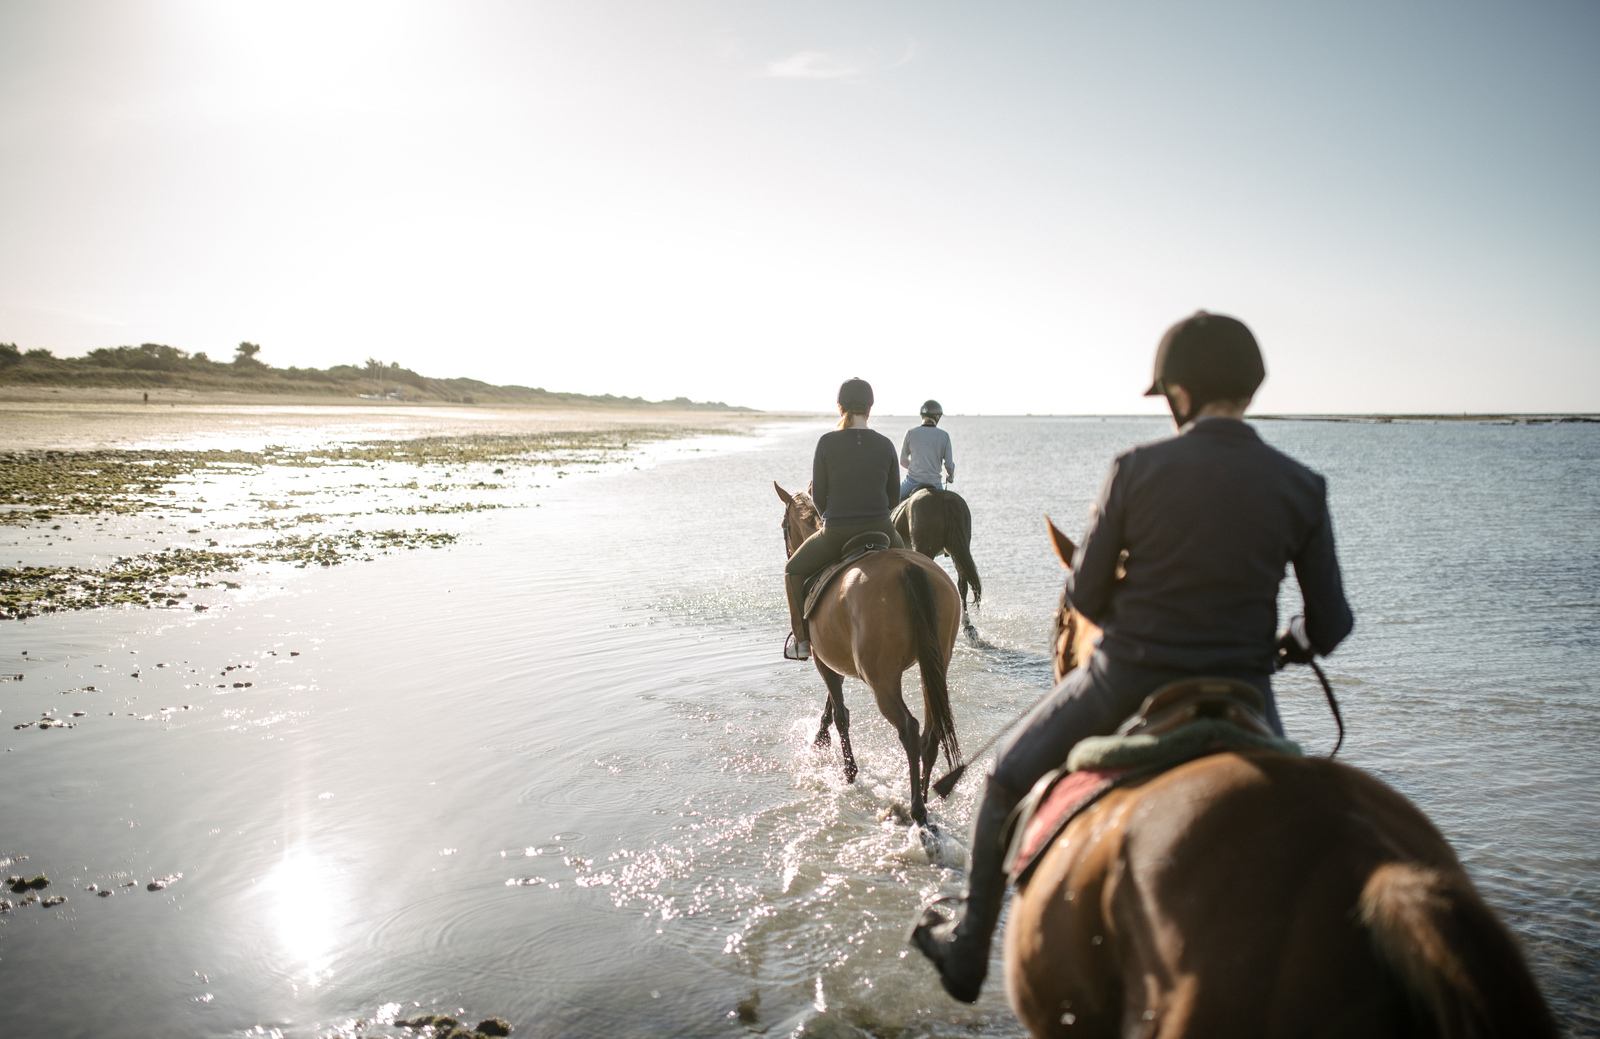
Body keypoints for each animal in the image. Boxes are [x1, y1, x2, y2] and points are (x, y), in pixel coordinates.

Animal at [775, 482, 963, 826]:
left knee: (909, 729)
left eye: (784, 526)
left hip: (883, 680)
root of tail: (908, 567)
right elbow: (833, 704)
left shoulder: (824, 661)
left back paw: (917, 808)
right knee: (930, 732)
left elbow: (840, 713)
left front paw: (848, 770)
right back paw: (924, 794)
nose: (789, 550)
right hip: (935, 664)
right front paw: (822, 739)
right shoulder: (834, 656)